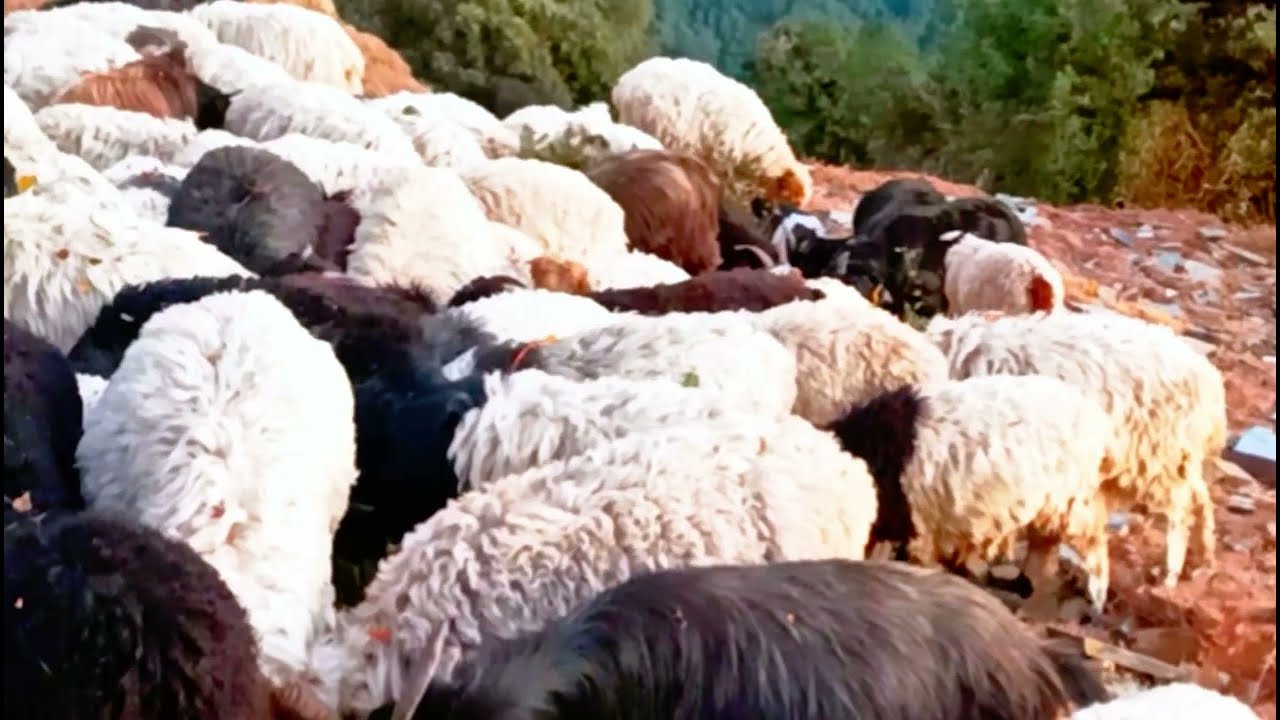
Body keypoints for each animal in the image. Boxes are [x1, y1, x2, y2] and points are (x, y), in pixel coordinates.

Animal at [829, 375, 1115, 614]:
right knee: (1046, 548)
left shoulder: (914, 527)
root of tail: (1095, 417)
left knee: (1091, 543)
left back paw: (1092, 599)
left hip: (1070, 500)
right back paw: (1024, 587)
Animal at [926, 311, 1229, 587]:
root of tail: (1209, 378)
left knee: (1181, 509)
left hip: (1159, 456)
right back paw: (1201, 559)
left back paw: (1171, 571)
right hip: (1176, 458)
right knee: (1201, 498)